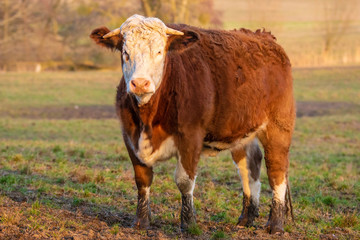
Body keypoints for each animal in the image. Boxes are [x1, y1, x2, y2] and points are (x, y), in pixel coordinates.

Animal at [90, 13, 296, 234]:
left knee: (276, 171)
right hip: (241, 131)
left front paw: (188, 224)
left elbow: (184, 181)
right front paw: (141, 222)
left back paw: (275, 224)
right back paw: (246, 218)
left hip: (278, 127)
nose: (140, 83)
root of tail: (264, 36)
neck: (148, 120)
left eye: (160, 51)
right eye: (125, 53)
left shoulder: (190, 137)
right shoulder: (130, 137)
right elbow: (142, 179)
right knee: (249, 166)